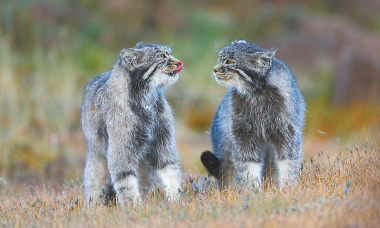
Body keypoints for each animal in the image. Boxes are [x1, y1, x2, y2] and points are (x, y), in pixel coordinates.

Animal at [82, 41, 183, 206]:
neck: (146, 100)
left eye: (170, 53)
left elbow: (170, 173)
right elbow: (127, 184)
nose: (179, 62)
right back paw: (93, 206)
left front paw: (175, 201)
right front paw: (134, 208)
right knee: (95, 184)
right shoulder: (120, 153)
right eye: (161, 56)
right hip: (98, 157)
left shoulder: (162, 144)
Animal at [202, 38, 306, 189]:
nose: (214, 69)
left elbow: (288, 163)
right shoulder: (243, 135)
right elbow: (248, 166)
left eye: (230, 62)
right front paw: (251, 190)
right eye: (219, 59)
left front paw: (288, 187)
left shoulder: (287, 133)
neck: (256, 94)